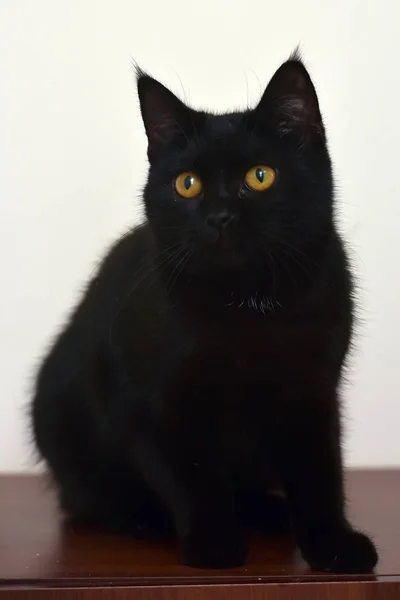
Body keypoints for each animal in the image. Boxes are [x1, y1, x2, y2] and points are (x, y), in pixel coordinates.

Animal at [31, 55, 378, 572]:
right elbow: (192, 477)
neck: (247, 303)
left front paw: (334, 544)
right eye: (187, 184)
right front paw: (214, 544)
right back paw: (146, 518)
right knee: (87, 498)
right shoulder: (156, 405)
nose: (219, 217)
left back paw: (269, 511)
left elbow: (320, 472)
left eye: (260, 175)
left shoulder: (314, 392)